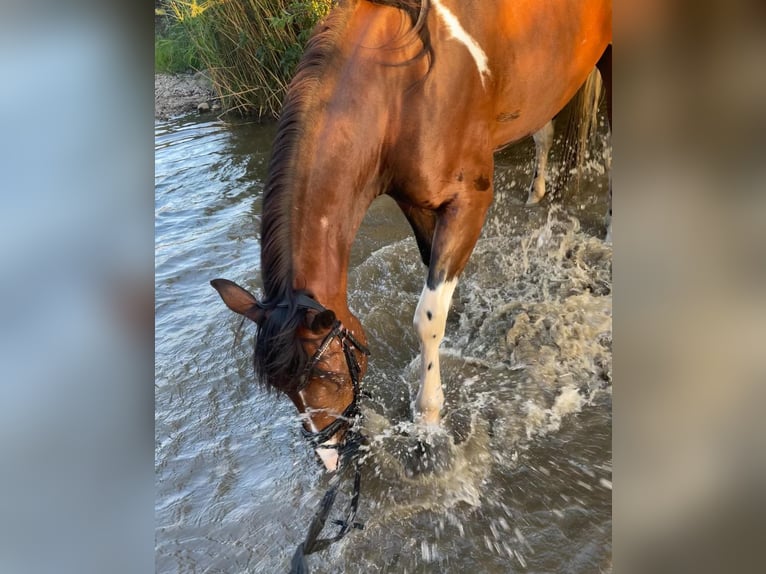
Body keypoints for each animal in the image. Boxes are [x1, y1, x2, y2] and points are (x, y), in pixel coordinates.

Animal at [213, 1, 616, 472]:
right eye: (283, 389)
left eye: (329, 375)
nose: (329, 460)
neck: (403, 90)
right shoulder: (416, 202)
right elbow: (436, 280)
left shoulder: (469, 202)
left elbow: (428, 317)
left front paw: (428, 414)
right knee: (543, 132)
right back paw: (536, 192)